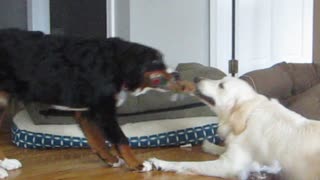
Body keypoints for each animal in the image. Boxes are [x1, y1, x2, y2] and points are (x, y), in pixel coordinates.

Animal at [0, 28, 192, 177]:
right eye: (154, 61)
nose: (177, 75)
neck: (116, 64)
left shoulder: (86, 111)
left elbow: (96, 139)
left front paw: (110, 159)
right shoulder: (103, 108)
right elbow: (121, 139)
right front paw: (137, 164)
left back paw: (6, 163)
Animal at [148, 76, 320, 179]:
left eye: (221, 85)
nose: (197, 78)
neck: (246, 116)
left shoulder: (229, 165)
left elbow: (187, 163)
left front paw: (161, 163)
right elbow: (222, 148)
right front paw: (210, 145)